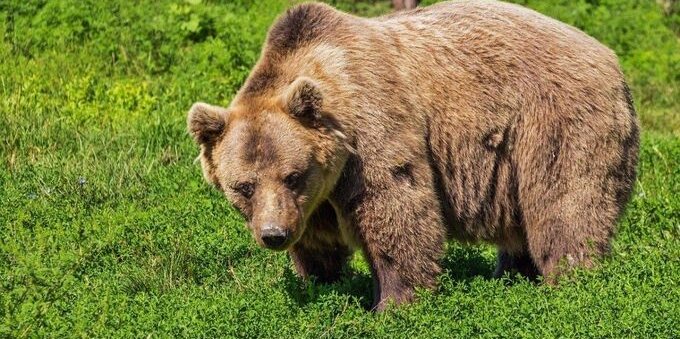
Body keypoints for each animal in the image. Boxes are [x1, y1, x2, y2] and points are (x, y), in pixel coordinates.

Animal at [186, 0, 636, 310]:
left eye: (292, 175)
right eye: (243, 186)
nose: (274, 234)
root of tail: (611, 58)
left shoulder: (372, 131)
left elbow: (396, 209)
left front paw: (393, 302)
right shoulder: (315, 199)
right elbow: (317, 240)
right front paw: (320, 282)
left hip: (555, 121)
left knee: (565, 204)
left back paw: (570, 280)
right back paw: (512, 274)